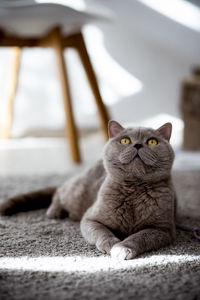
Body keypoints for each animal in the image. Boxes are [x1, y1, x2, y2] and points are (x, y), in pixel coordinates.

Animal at [0, 120, 176, 258]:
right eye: (125, 141)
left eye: (152, 142)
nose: (138, 145)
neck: (135, 188)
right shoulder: (91, 219)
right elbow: (102, 232)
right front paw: (111, 245)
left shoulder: (162, 229)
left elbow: (140, 236)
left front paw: (123, 248)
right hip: (76, 194)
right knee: (60, 191)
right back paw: (54, 211)